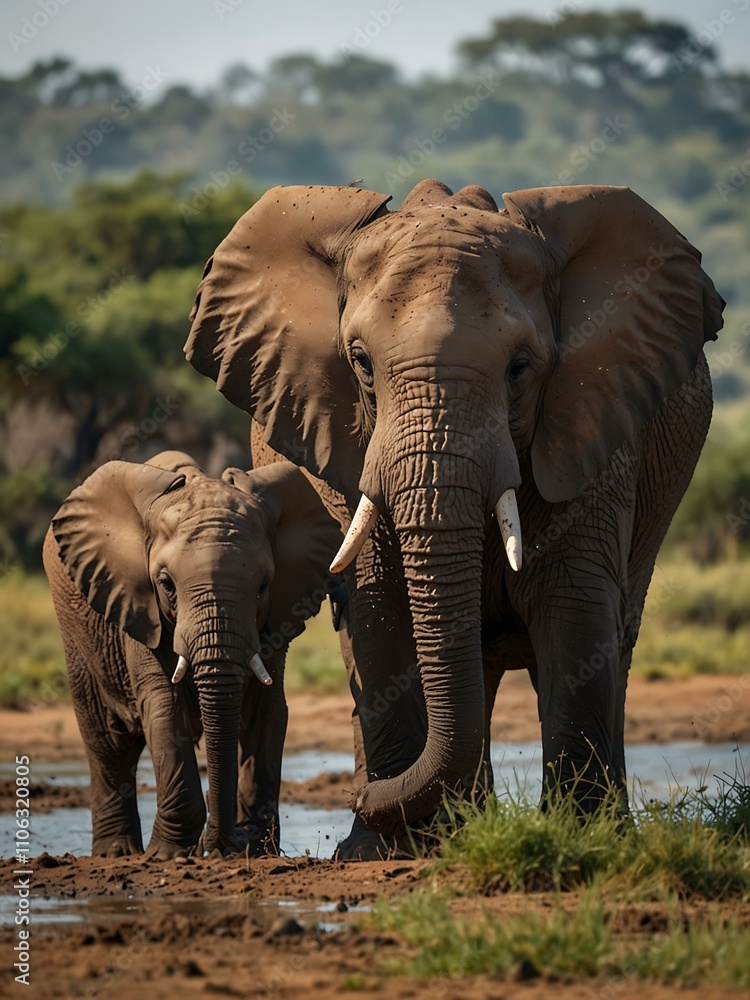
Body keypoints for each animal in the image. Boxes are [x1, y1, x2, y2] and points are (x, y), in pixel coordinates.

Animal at [43, 450, 340, 858]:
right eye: (166, 584)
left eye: (263, 586)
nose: (219, 844)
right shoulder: (138, 607)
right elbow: (164, 709)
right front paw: (169, 855)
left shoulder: (276, 617)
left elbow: (266, 712)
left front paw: (254, 848)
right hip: (78, 634)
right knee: (107, 740)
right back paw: (115, 853)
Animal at [185, 179, 724, 859]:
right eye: (361, 363)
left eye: (520, 367)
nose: (356, 797)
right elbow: (378, 610)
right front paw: (384, 850)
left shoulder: (594, 422)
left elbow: (574, 608)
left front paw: (584, 837)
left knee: (611, 640)